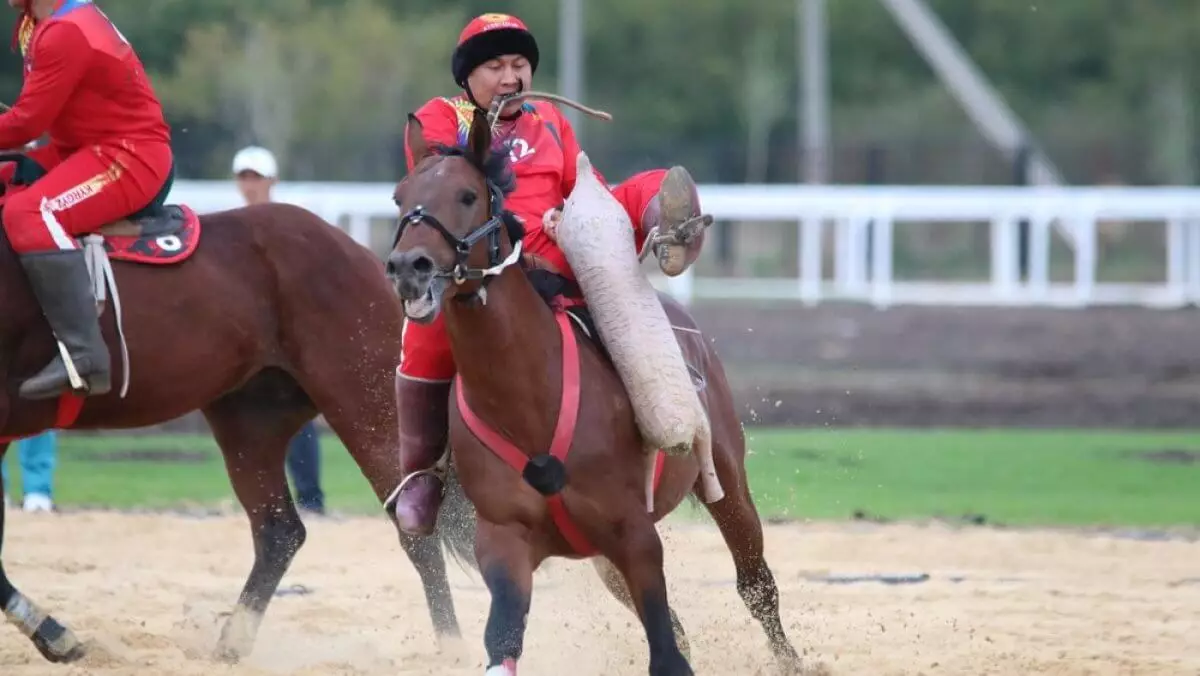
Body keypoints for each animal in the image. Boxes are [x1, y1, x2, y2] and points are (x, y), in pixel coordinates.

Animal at [0, 195, 472, 667]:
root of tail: (358, 249)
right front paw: (50, 632)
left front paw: (54, 632)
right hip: (249, 424)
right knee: (279, 531)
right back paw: (232, 641)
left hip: (365, 405)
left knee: (415, 530)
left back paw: (453, 648)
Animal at [388, 108, 801, 672]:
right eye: (399, 197)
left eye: (468, 195)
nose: (408, 268)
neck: (528, 404)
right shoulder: (503, 543)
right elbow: (502, 643)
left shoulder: (635, 535)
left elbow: (668, 653)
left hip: (728, 483)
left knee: (756, 585)